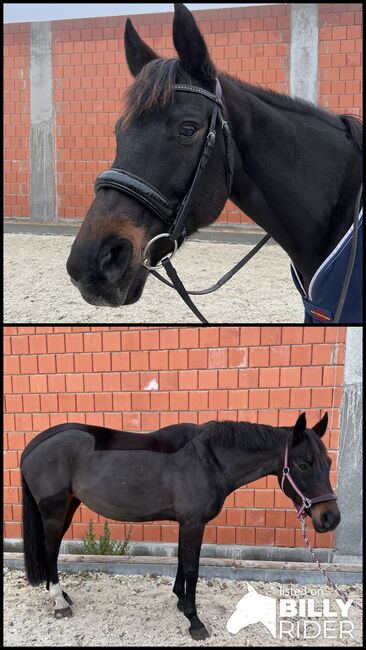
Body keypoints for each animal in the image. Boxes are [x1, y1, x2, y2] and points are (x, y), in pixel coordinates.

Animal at [20, 410, 340, 636]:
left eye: (328, 463)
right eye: (303, 464)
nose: (330, 518)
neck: (208, 459)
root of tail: (34, 445)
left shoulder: (185, 522)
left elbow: (181, 563)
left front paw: (180, 601)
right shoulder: (194, 524)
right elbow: (192, 569)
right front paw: (194, 620)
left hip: (69, 506)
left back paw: (62, 595)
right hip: (54, 510)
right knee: (50, 548)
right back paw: (59, 602)